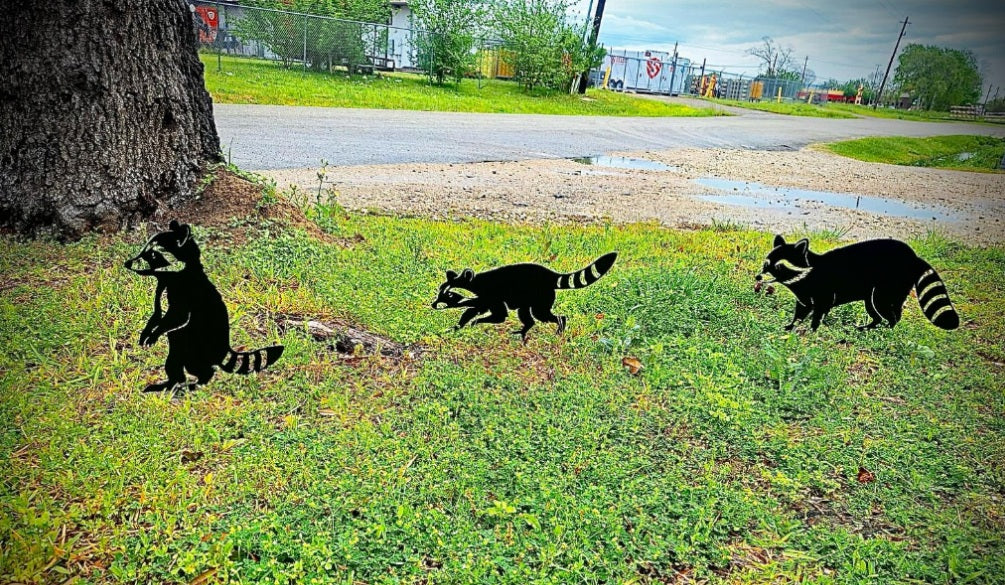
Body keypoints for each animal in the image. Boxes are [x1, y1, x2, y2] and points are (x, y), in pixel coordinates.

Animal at [125, 220, 284, 392]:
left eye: (153, 254)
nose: (127, 263)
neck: (167, 276)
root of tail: (224, 349)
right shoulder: (161, 289)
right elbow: (157, 314)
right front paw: (147, 333)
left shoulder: (185, 293)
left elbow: (178, 316)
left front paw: (155, 333)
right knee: (175, 361)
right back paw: (173, 384)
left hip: (196, 343)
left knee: (196, 365)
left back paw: (195, 383)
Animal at [432, 252, 617, 340]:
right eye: (440, 291)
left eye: (449, 294)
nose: (433, 305)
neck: (476, 284)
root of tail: (550, 274)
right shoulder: (483, 299)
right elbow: (471, 311)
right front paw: (457, 327)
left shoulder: (493, 295)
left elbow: (499, 316)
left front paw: (475, 323)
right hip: (529, 299)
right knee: (527, 315)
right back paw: (526, 328)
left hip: (541, 296)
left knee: (543, 315)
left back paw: (560, 325)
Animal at [756, 234, 960, 331]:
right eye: (766, 265)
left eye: (779, 266)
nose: (758, 277)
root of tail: (914, 257)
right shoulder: (804, 298)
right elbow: (801, 311)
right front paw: (792, 325)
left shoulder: (824, 295)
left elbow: (818, 313)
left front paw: (812, 329)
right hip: (872, 296)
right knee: (876, 313)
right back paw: (870, 327)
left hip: (886, 289)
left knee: (890, 312)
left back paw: (889, 328)